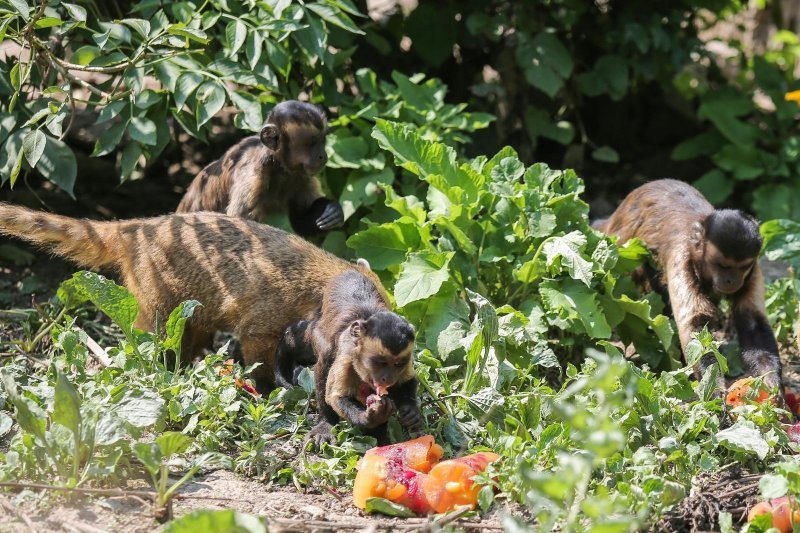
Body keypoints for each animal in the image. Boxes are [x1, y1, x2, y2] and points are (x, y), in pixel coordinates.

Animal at [177, 100, 344, 237]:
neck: (277, 165)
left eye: (322, 141)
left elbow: (300, 223)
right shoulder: (253, 173)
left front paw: (333, 210)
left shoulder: (300, 176)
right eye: (310, 143)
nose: (323, 155)